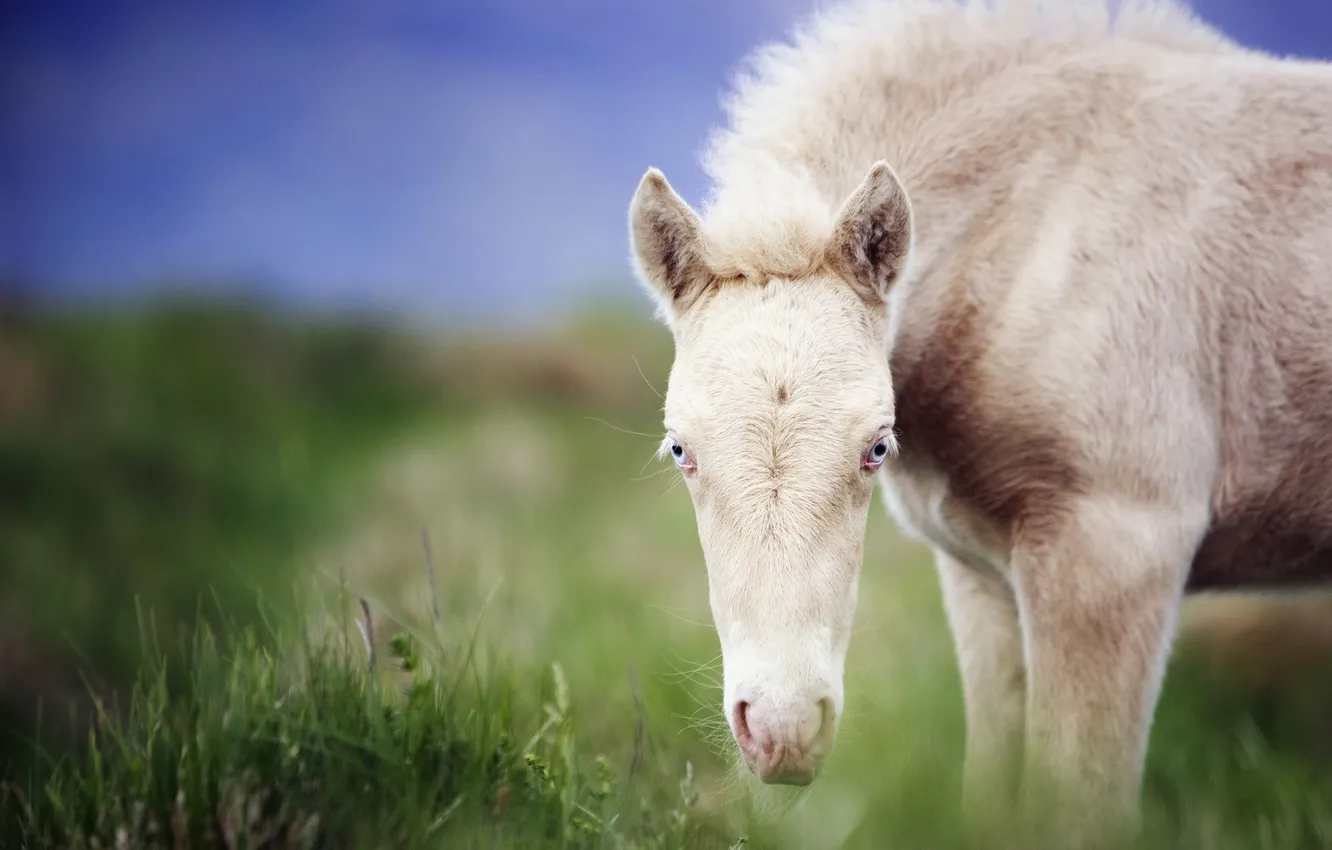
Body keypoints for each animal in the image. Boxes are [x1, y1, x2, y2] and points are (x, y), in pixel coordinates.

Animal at [625, 0, 1332, 842]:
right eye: (679, 450)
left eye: (876, 447)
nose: (783, 730)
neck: (1027, 225)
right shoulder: (985, 579)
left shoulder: (1118, 555)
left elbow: (1080, 802)